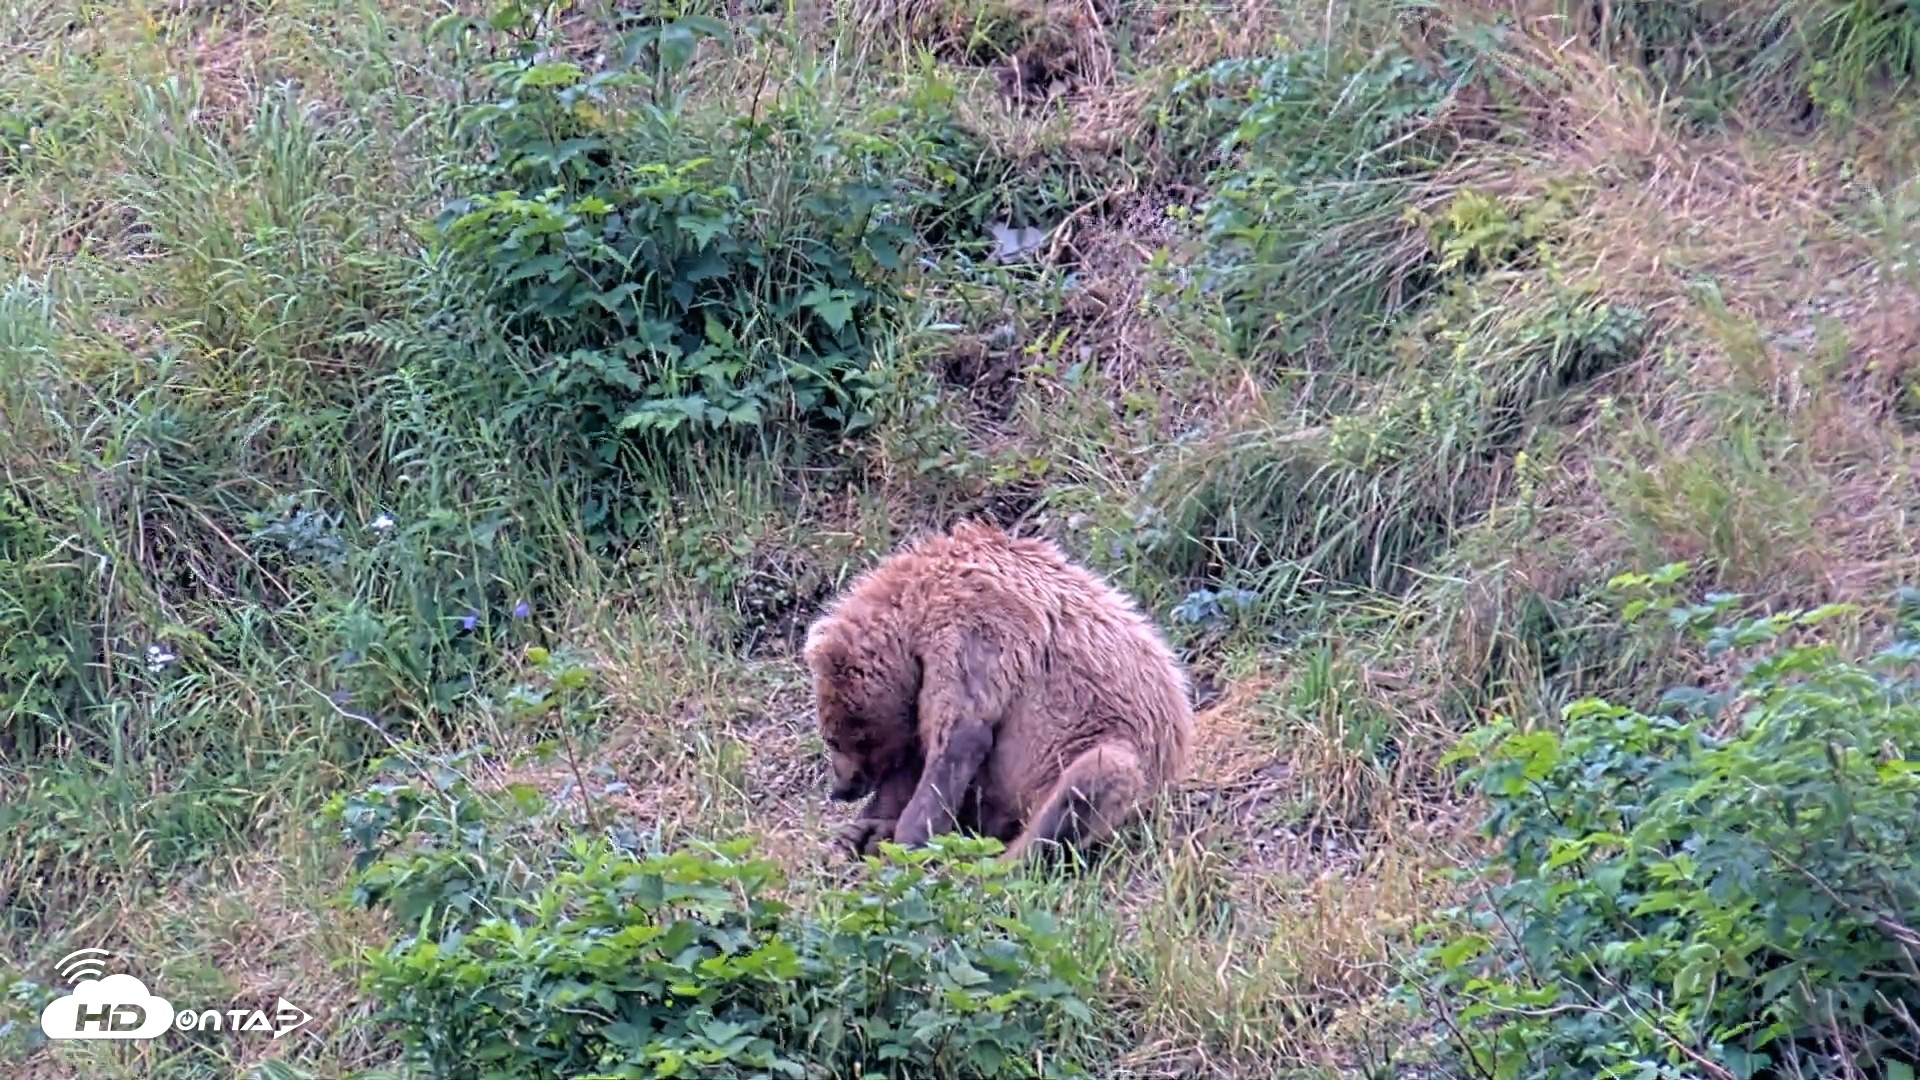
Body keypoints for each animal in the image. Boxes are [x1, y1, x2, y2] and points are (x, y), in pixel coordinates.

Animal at [802, 519, 1194, 863]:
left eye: (835, 739)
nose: (840, 788)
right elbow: (916, 756)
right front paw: (863, 829)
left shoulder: (975, 627)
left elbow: (959, 736)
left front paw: (906, 842)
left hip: (1104, 752)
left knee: (1089, 783)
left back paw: (1001, 860)